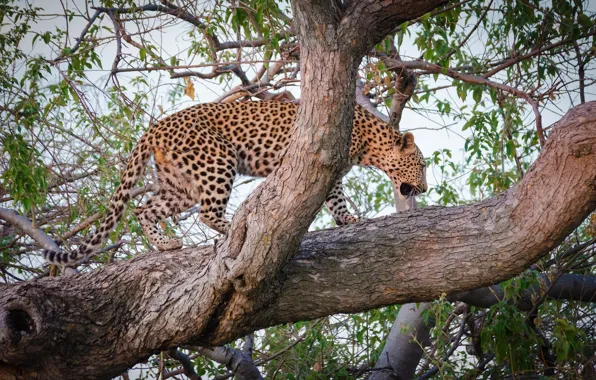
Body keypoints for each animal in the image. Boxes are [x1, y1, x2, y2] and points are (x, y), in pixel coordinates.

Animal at [44, 101, 426, 268]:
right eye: (422, 165)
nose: (423, 189)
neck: (371, 143)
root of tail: (156, 126)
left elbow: (336, 200)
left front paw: (347, 220)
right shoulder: (322, 161)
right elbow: (333, 196)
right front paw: (348, 218)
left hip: (179, 184)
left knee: (143, 208)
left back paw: (166, 245)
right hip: (217, 160)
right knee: (207, 213)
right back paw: (233, 228)